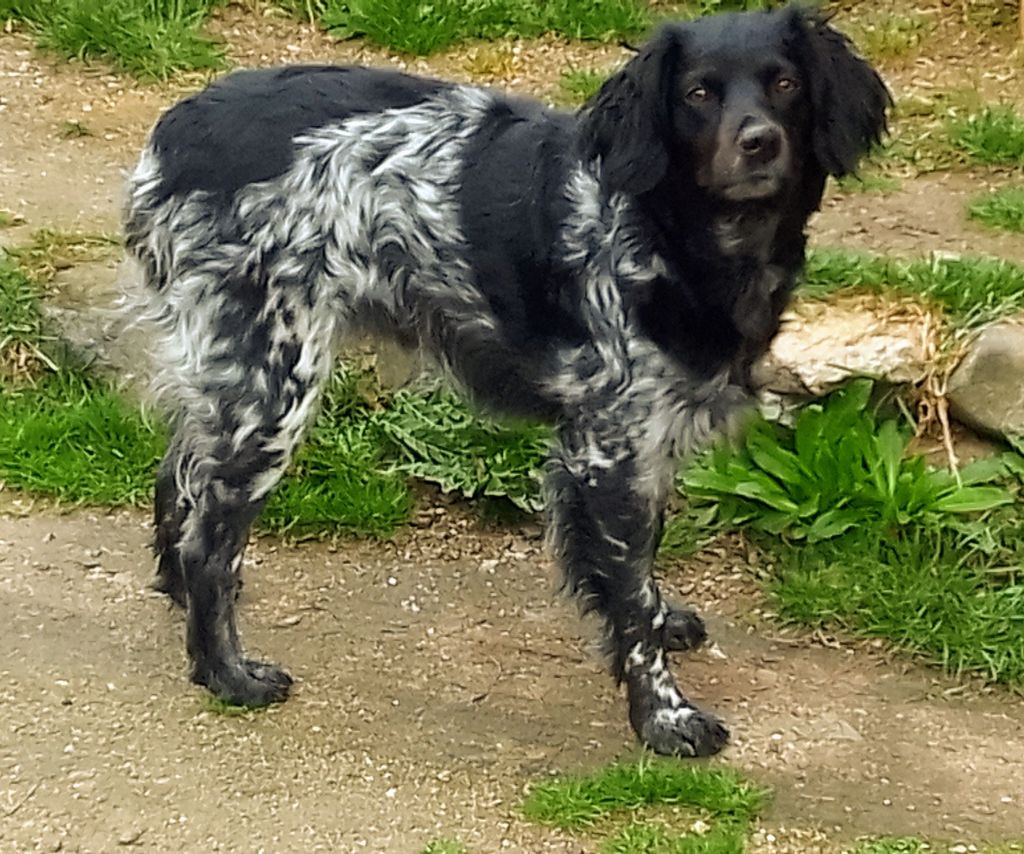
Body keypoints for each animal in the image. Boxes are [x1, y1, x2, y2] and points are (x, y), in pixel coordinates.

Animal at [122, 4, 889, 757]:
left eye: (785, 83)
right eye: (698, 93)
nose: (758, 141)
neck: (674, 234)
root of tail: (174, 132)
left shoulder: (639, 441)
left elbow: (636, 574)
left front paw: (663, 621)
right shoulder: (609, 447)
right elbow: (630, 600)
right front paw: (665, 718)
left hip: (235, 380)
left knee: (178, 479)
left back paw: (181, 598)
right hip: (276, 383)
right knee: (210, 537)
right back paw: (225, 672)